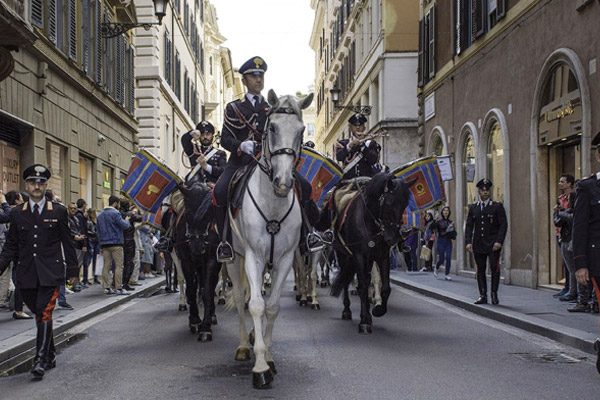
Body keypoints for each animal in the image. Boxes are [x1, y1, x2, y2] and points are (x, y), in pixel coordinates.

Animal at [171, 170, 223, 340]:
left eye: (208, 213)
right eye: (187, 213)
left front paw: (205, 327)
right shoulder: (186, 260)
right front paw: (194, 320)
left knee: (211, 286)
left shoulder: (213, 260)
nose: (197, 246)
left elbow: (207, 290)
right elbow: (192, 289)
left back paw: (212, 315)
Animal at [226, 90, 314, 388]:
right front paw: (260, 367)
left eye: (301, 131)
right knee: (241, 297)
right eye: (272, 127)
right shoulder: (253, 256)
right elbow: (254, 305)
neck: (273, 203)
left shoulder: (285, 258)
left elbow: (272, 306)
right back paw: (244, 345)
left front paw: (269, 356)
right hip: (234, 258)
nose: (283, 182)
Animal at [330, 173, 414, 332]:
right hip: (344, 256)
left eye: (405, 204)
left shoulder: (383, 257)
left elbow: (385, 287)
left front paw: (378, 309)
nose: (393, 238)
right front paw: (364, 322)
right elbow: (362, 287)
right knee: (346, 281)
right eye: (389, 202)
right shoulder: (359, 257)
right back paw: (347, 311)